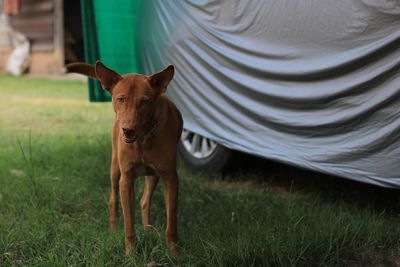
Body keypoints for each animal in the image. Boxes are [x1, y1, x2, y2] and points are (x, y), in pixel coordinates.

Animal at [66, 61, 183, 258]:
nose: (127, 130)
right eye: (121, 99)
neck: (143, 139)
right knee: (113, 200)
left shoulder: (170, 178)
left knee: (144, 201)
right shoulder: (126, 180)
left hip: (153, 175)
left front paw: (174, 252)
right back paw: (113, 231)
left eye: (144, 102)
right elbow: (128, 223)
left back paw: (148, 229)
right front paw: (130, 254)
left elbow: (172, 221)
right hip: (115, 171)